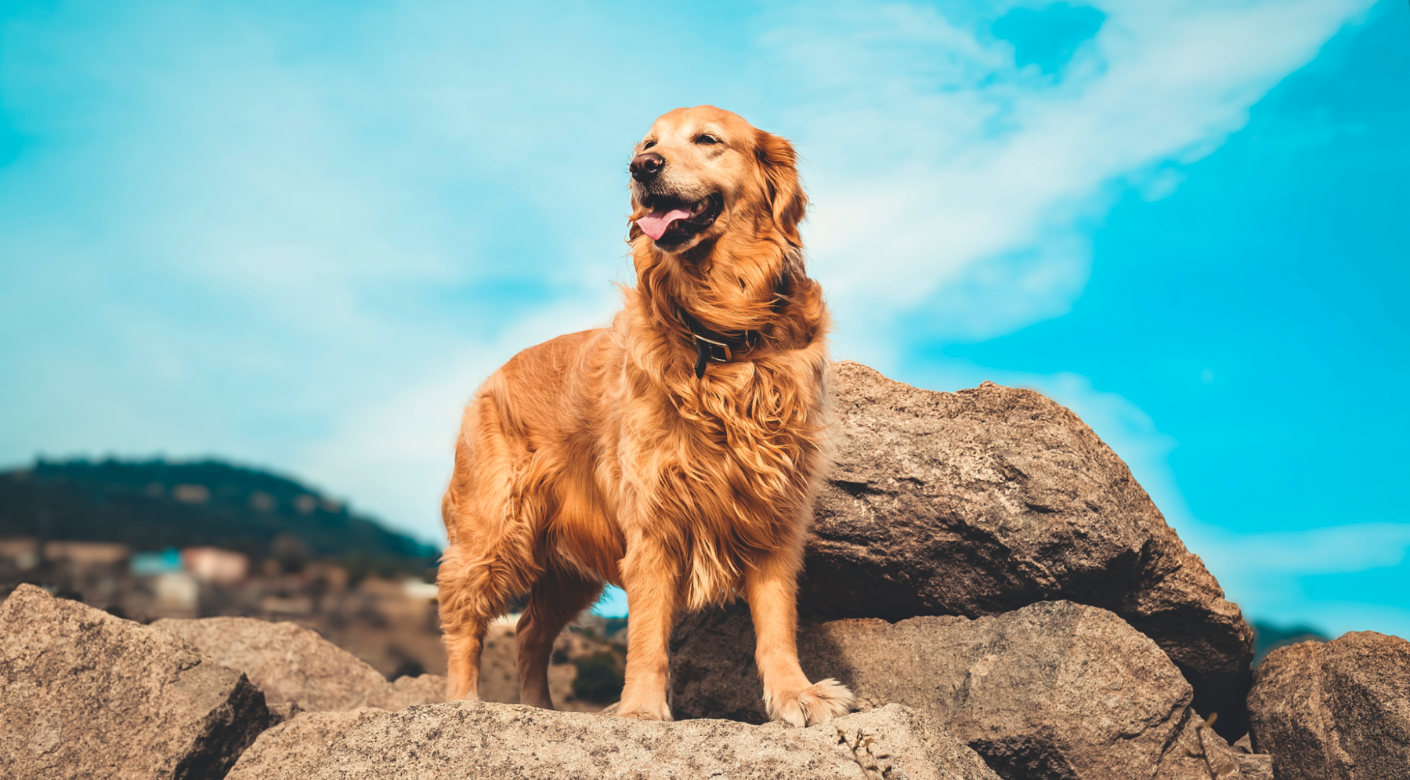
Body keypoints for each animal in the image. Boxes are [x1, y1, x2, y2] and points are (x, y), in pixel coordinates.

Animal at [439, 103, 851, 722]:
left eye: (707, 139)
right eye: (648, 144)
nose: (642, 168)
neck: (719, 334)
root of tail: (492, 377)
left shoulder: (773, 511)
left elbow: (777, 623)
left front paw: (796, 694)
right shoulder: (653, 516)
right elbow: (648, 632)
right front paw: (638, 710)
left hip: (564, 565)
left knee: (531, 630)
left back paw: (542, 709)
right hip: (494, 527)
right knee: (465, 618)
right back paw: (463, 703)